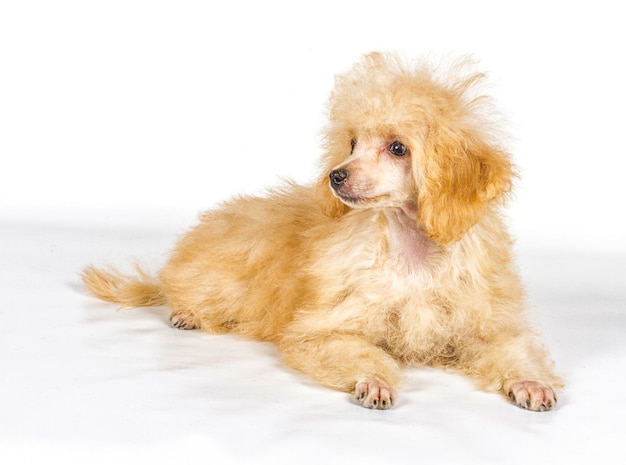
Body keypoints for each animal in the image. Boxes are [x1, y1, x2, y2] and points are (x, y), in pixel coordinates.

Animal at [83, 51, 560, 410]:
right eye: (352, 143)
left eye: (398, 148)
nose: (336, 176)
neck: (411, 252)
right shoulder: (323, 332)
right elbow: (359, 351)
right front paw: (374, 380)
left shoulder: (481, 327)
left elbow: (512, 350)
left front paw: (529, 381)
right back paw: (187, 311)